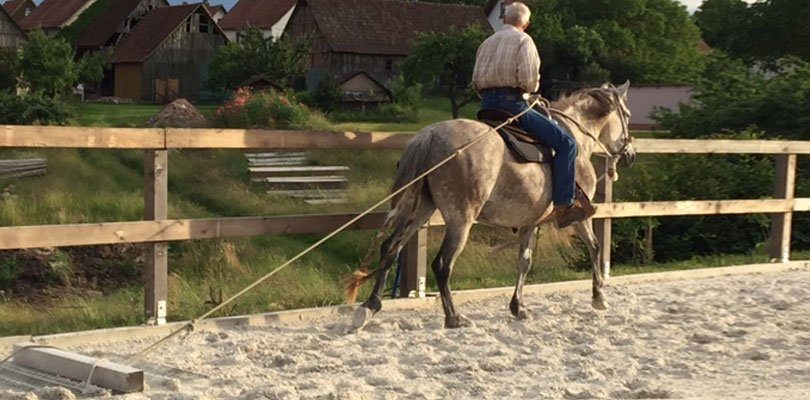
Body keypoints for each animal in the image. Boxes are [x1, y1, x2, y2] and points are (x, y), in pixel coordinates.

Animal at [344, 83, 636, 330]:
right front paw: (599, 297)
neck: (575, 137)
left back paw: (370, 306)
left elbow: (524, 261)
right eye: (628, 114)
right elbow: (595, 247)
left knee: (390, 248)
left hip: (420, 210)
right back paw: (454, 318)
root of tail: (430, 135)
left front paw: (518, 307)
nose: (630, 155)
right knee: (442, 264)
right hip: (461, 219)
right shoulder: (580, 216)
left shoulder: (530, 222)